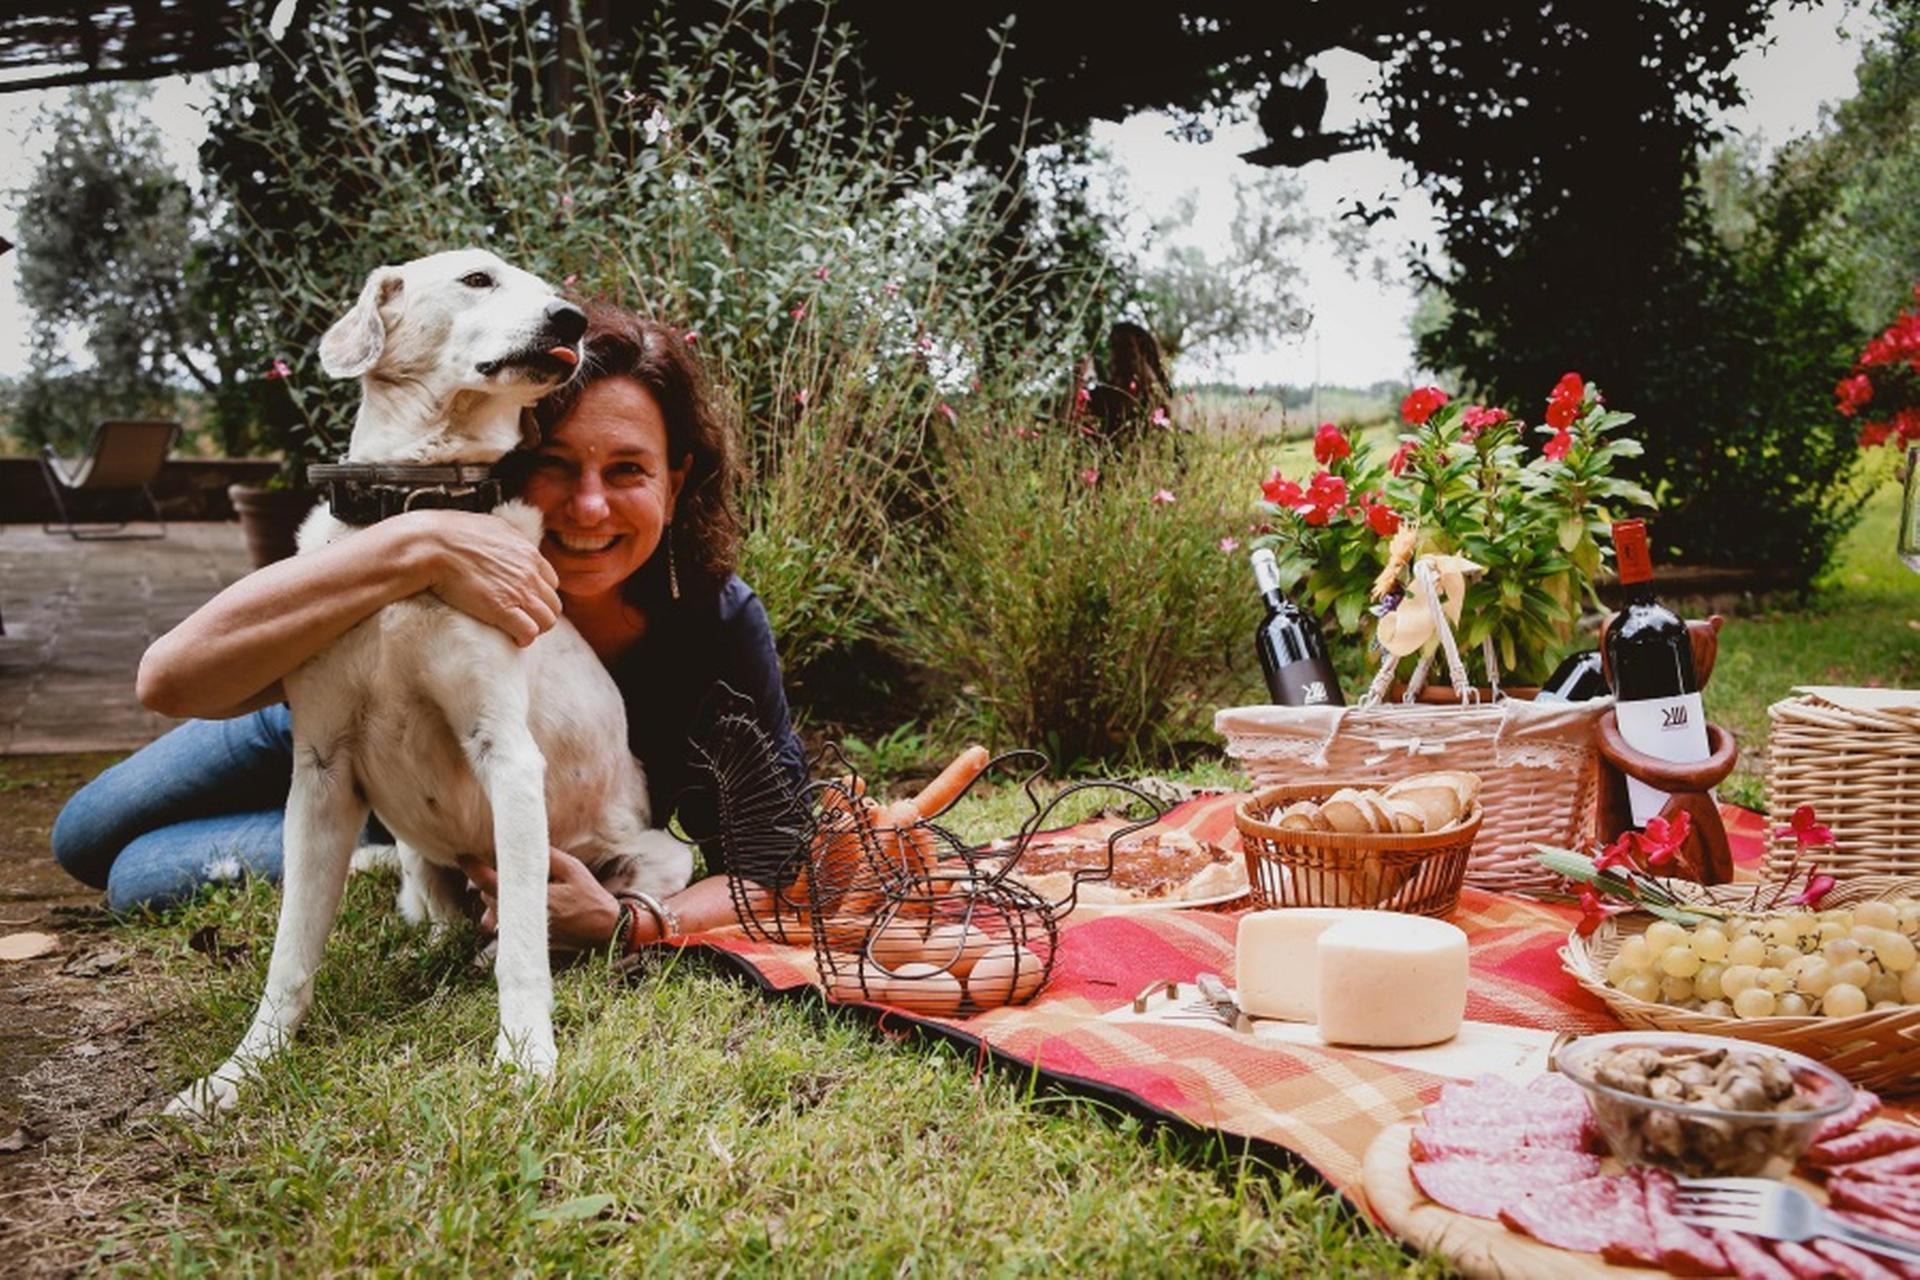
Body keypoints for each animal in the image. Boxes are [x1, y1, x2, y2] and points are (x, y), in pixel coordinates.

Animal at [165, 247, 691, 1113]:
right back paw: (435, 948)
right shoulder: (319, 775)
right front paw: (238, 1075)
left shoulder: (506, 755)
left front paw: (526, 1057)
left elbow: (524, 950)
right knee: (446, 917)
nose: (572, 321)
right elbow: (289, 958)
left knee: (559, 921)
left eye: (549, 289)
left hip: (658, 856)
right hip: (413, 848)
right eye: (478, 278)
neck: (413, 515)